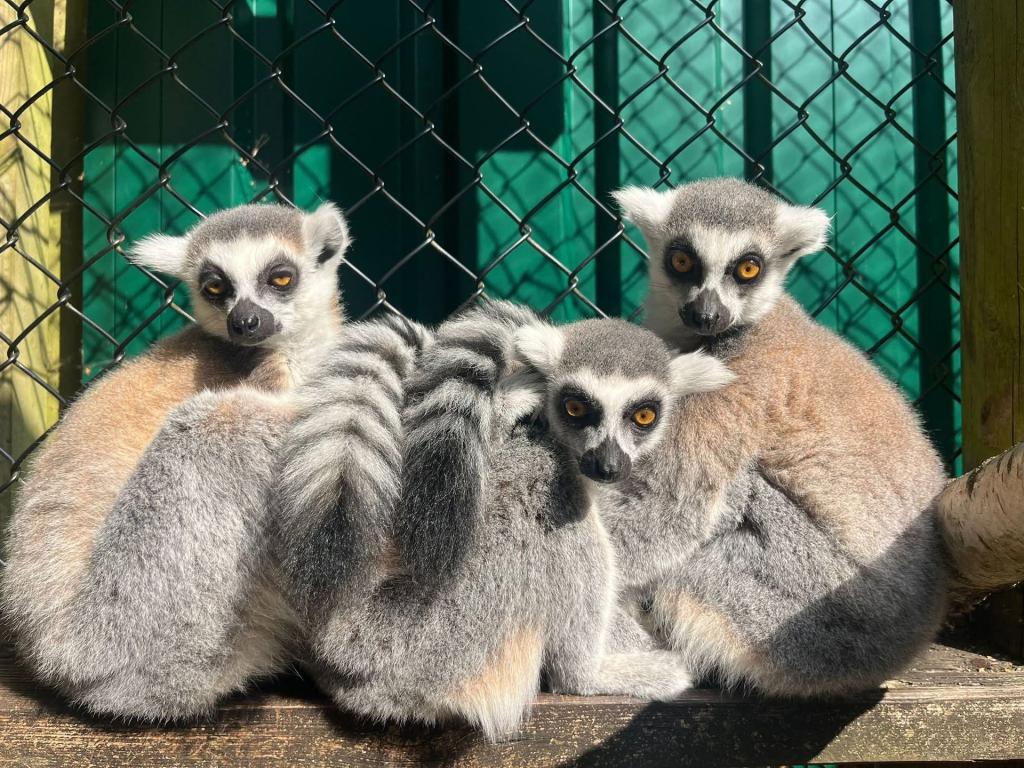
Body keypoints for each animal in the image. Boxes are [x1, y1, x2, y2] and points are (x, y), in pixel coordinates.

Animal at [2, 201, 351, 720]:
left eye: (280, 278)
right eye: (216, 287)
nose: (244, 322)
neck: (296, 349)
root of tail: (42, 645)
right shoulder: (262, 374)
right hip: (123, 614)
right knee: (221, 427)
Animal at [276, 300, 734, 740]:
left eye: (643, 417)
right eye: (575, 408)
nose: (606, 464)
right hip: (437, 632)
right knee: (548, 494)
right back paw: (589, 675)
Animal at [601, 177, 949, 696]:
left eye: (748, 268)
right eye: (682, 261)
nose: (707, 313)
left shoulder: (735, 383)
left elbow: (667, 506)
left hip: (806, 613)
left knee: (734, 502)